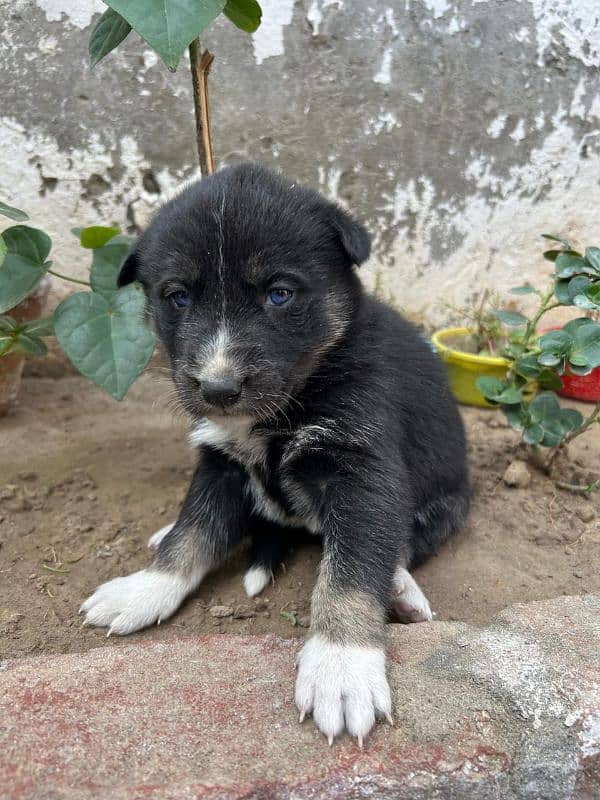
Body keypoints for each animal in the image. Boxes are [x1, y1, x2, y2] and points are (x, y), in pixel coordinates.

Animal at [82, 162, 472, 744]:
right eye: (178, 296)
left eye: (280, 293)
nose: (217, 389)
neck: (289, 404)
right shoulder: (219, 461)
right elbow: (192, 531)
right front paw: (148, 588)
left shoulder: (361, 468)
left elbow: (353, 570)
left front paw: (342, 668)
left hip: (448, 502)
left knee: (402, 542)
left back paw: (400, 589)